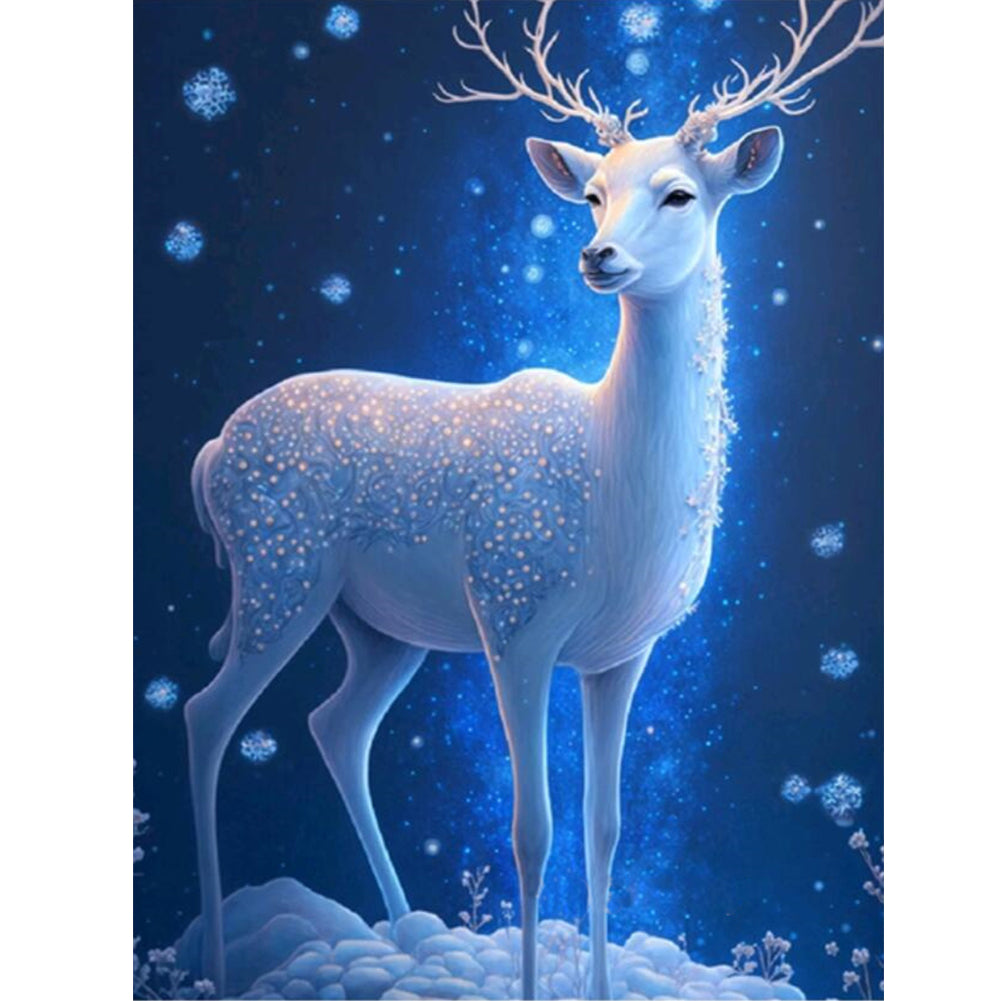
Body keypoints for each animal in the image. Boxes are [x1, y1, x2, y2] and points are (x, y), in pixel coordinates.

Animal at [184, 1, 883, 996]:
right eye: (591, 193)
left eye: (678, 194)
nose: (596, 254)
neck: (613, 490)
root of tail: (210, 452)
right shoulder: (512, 614)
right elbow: (529, 831)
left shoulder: (621, 651)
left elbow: (604, 829)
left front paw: (595, 981)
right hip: (278, 567)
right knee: (207, 713)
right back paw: (213, 954)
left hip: (379, 624)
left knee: (334, 724)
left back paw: (402, 930)